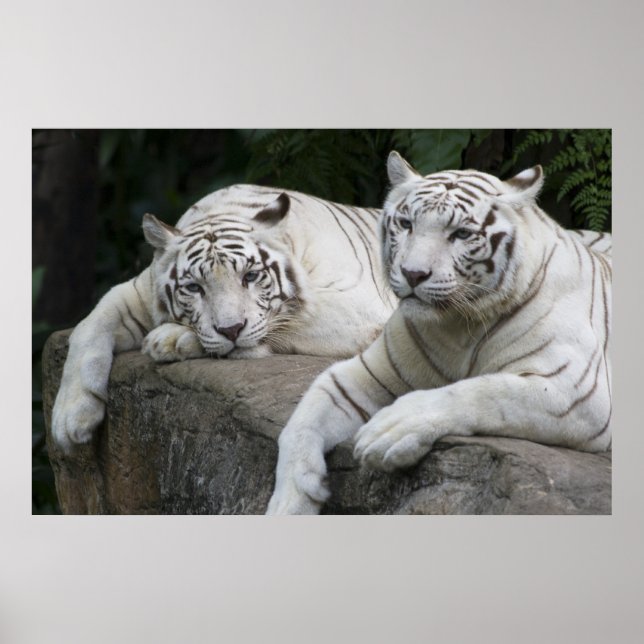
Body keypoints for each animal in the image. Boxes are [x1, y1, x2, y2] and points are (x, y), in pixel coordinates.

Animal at [51, 184, 398, 453]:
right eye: (194, 287)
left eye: (251, 276)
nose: (231, 329)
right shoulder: (140, 290)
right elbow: (89, 324)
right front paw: (69, 420)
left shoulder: (358, 307)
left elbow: (282, 321)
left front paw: (170, 339)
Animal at [266, 151, 612, 515]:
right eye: (407, 224)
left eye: (461, 234)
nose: (413, 274)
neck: (460, 325)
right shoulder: (365, 371)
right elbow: (300, 423)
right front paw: (289, 503)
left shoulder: (575, 391)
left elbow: (482, 391)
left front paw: (389, 430)